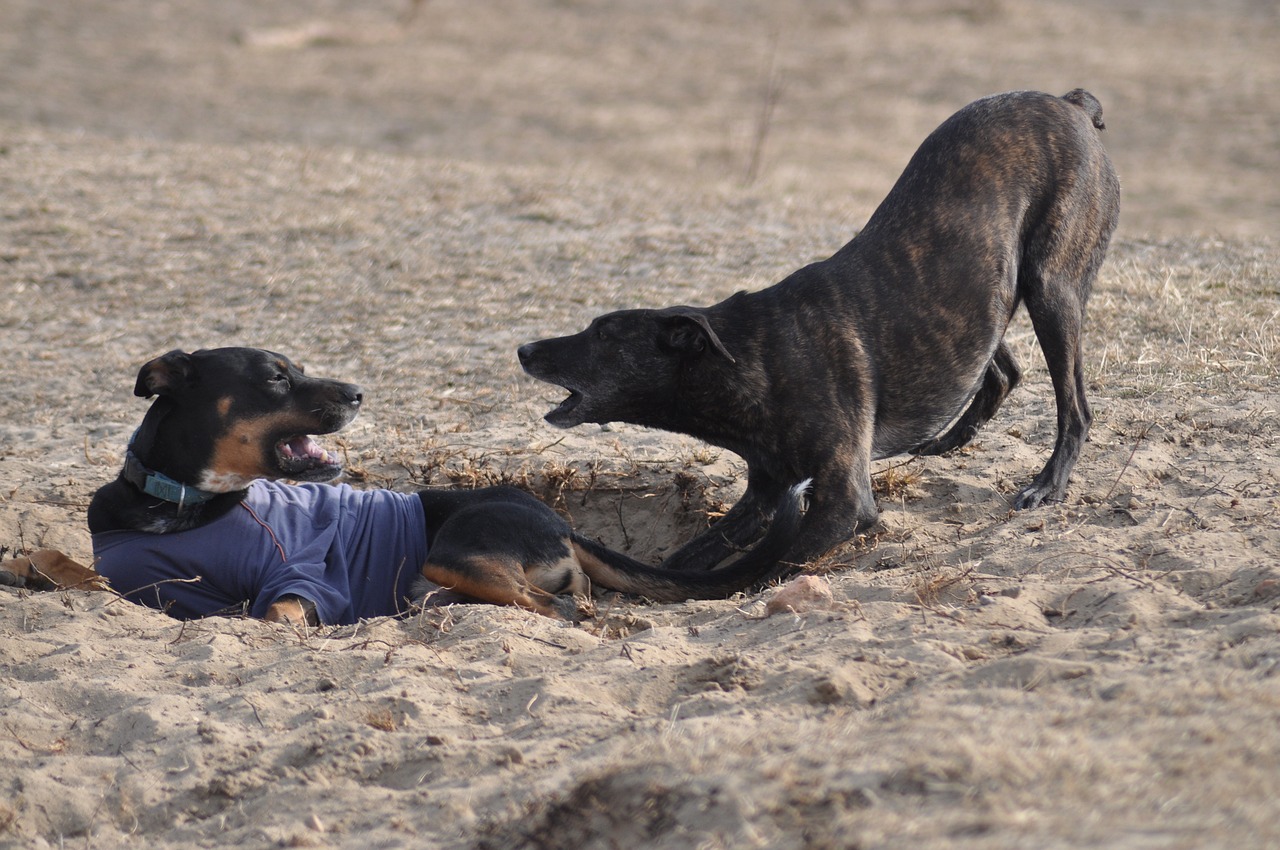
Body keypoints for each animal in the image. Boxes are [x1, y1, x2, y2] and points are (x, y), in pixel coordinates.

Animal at [72, 345, 798, 624]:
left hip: (454, 550)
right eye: (276, 376)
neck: (182, 505)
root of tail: (557, 517)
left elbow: (273, 613)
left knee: (555, 603)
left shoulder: (300, 578)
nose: (357, 392)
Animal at [519, 87, 1121, 578]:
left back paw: (1047, 485)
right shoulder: (764, 492)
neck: (753, 356)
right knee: (1002, 369)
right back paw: (945, 440)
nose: (524, 349)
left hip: (1052, 289)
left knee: (1074, 406)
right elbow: (689, 558)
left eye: (604, 335)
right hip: (985, 298)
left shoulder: (842, 504)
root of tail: (1071, 104)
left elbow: (768, 566)